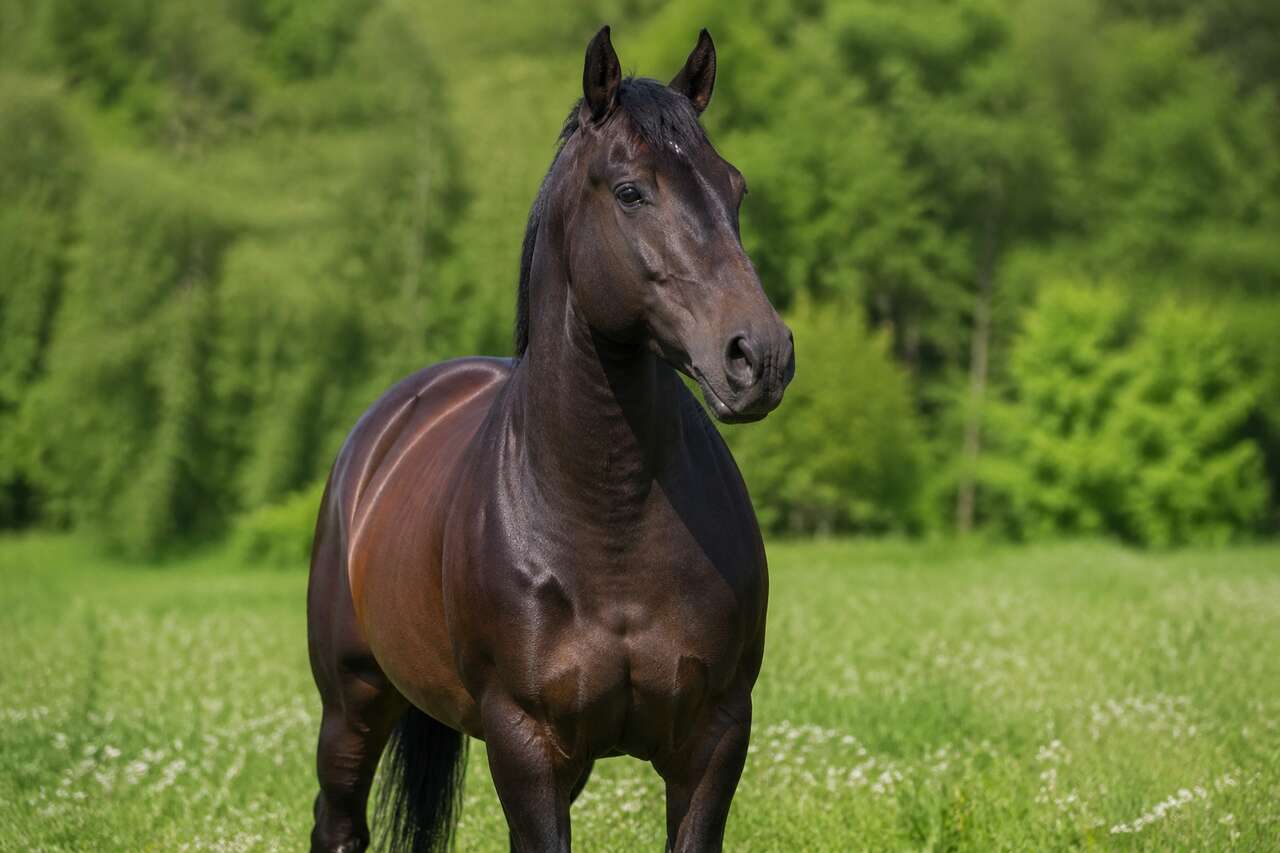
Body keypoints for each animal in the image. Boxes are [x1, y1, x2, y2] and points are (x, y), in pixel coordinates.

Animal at [306, 25, 795, 853]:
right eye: (630, 191)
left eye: (735, 189)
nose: (759, 356)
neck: (609, 518)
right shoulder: (525, 741)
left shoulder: (715, 736)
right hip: (351, 705)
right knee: (338, 820)